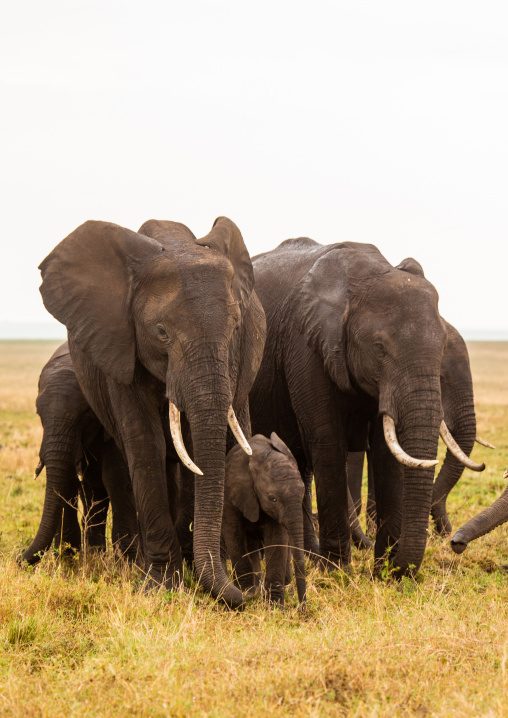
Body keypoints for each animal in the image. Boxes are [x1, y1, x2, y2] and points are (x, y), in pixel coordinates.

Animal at [22, 342, 139, 565]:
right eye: (39, 415)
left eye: (86, 415)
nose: (18, 560)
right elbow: (67, 479)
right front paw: (66, 558)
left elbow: (116, 478)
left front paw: (128, 564)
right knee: (93, 494)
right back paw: (94, 556)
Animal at [38, 217, 266, 606]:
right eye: (161, 332)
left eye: (236, 326)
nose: (247, 595)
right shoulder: (119, 346)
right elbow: (147, 445)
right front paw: (159, 586)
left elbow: (211, 445)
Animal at [222, 433, 306, 608]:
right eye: (272, 498)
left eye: (303, 493)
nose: (302, 609)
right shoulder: (230, 492)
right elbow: (233, 534)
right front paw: (247, 593)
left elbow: (277, 541)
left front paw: (274, 607)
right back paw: (256, 589)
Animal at [249, 239, 484, 577]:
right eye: (380, 348)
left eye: (440, 351)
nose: (454, 542)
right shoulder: (306, 345)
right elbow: (328, 443)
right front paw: (339, 571)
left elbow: (387, 452)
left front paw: (384, 571)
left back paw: (308, 557)